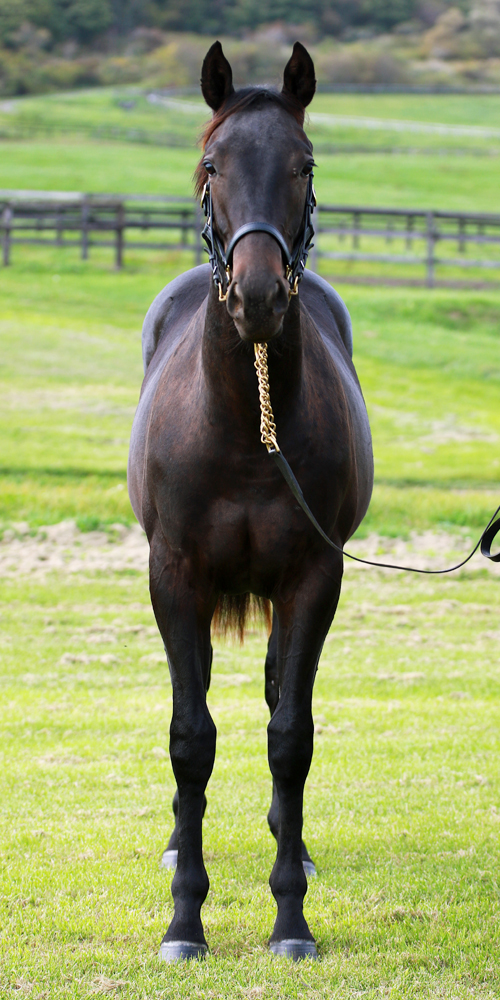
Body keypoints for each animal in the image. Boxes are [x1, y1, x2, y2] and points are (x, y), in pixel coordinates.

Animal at [128, 40, 373, 962]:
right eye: (212, 165)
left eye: (304, 165)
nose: (259, 298)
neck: (241, 424)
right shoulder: (175, 577)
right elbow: (189, 737)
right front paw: (185, 921)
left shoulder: (312, 578)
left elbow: (289, 734)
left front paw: (291, 916)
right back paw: (176, 845)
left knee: (274, 699)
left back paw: (290, 845)